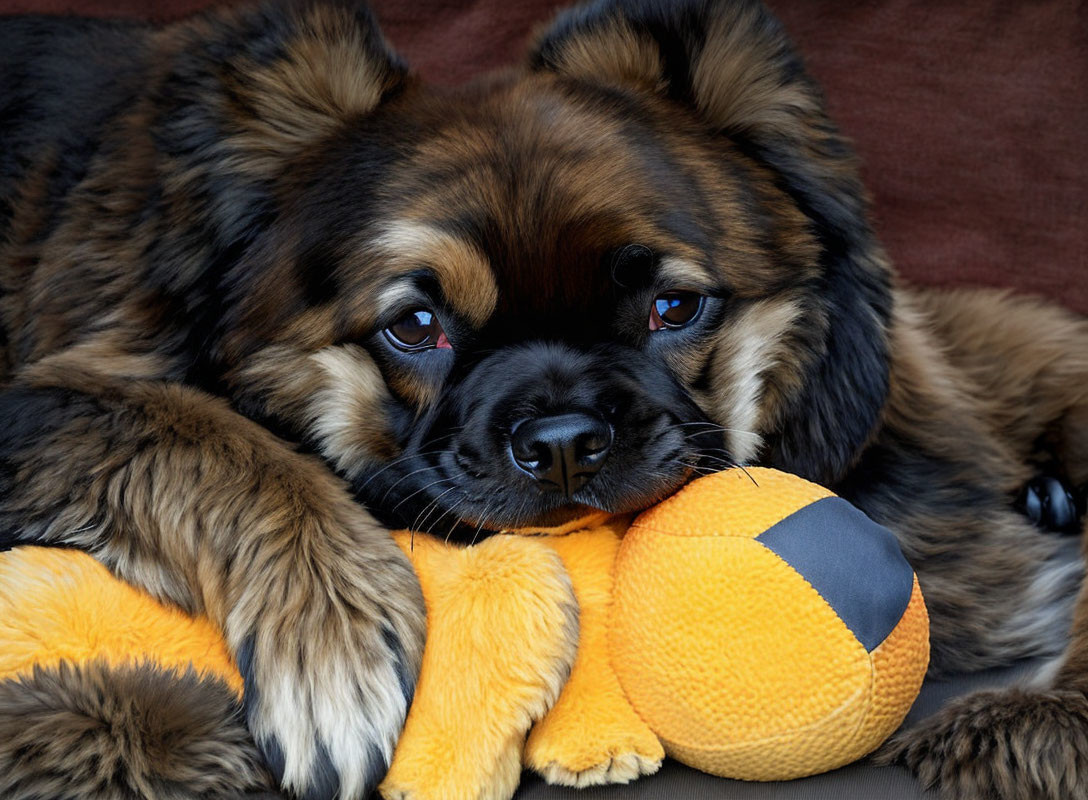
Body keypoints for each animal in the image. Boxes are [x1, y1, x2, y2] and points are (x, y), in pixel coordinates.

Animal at [2, 1, 1088, 800]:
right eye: (414, 325)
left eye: (672, 306)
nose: (564, 438)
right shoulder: (46, 399)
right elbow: (202, 437)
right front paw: (332, 647)